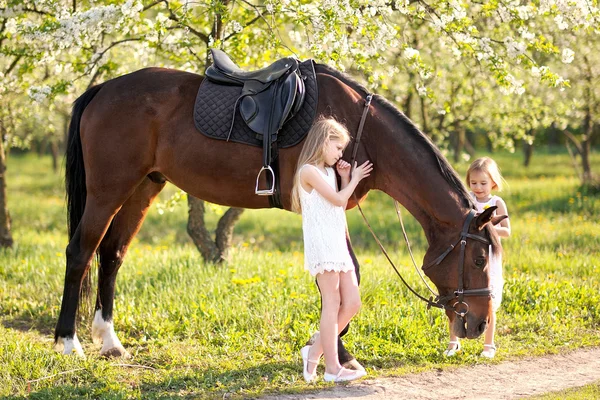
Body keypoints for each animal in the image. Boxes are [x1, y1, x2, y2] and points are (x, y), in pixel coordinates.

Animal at [56, 63, 500, 366]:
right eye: (479, 259)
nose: (479, 324)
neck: (358, 129)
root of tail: (103, 90)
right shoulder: (319, 203)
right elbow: (338, 272)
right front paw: (337, 349)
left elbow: (345, 272)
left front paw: (334, 344)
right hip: (107, 190)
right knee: (80, 254)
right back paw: (68, 342)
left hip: (143, 188)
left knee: (111, 256)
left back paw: (109, 341)